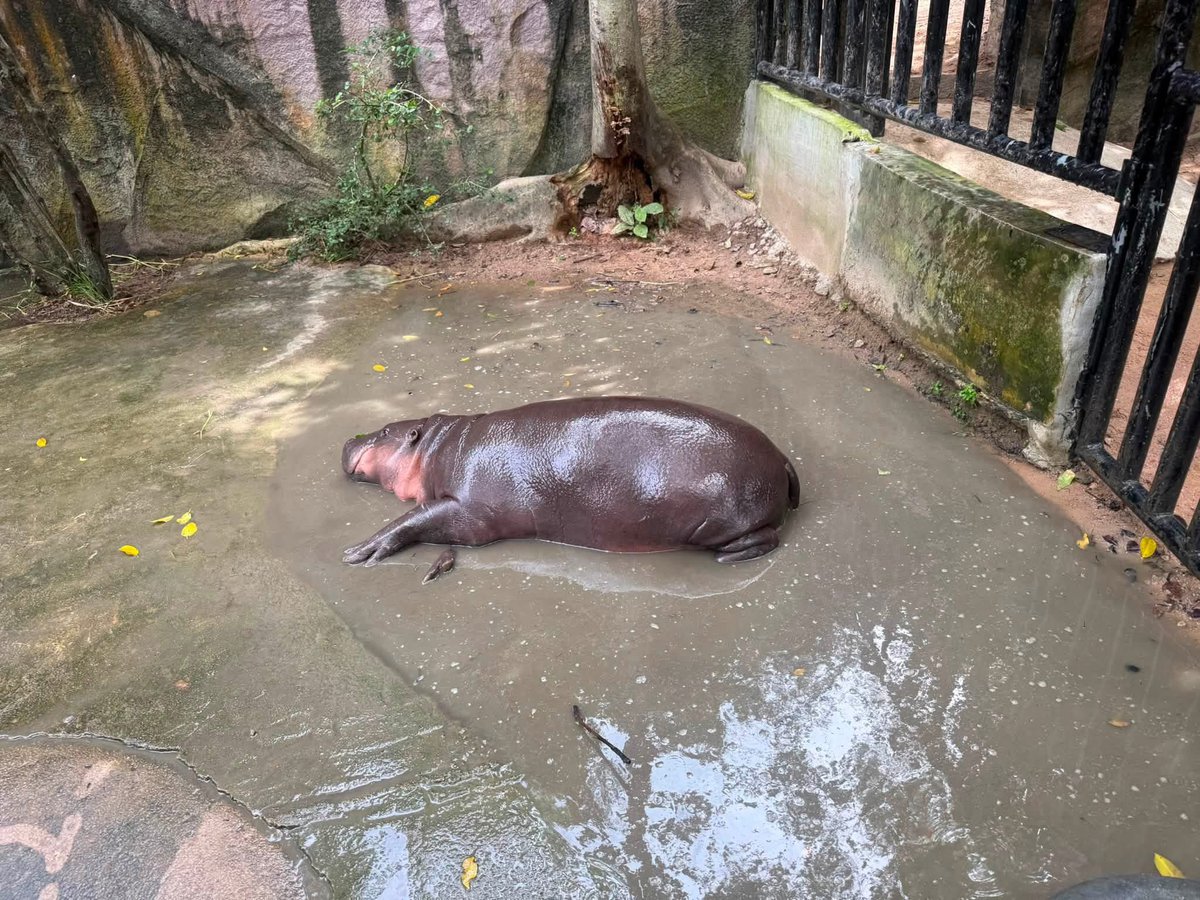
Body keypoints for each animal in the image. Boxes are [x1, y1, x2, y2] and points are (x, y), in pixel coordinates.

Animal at [341, 396, 800, 579]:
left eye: (385, 431)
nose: (347, 439)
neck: (440, 446)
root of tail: (781, 456)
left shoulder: (470, 512)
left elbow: (414, 517)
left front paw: (358, 551)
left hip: (726, 521)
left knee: (766, 538)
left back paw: (729, 559)